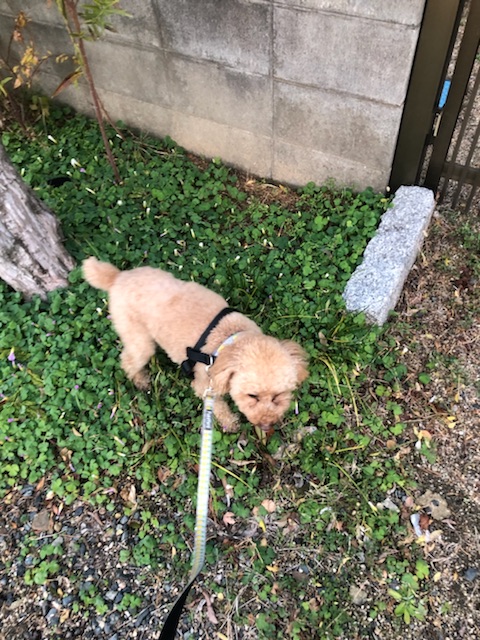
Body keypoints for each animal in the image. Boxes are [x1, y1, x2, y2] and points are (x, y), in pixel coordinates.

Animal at [82, 257, 308, 432]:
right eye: (252, 396)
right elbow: (218, 407)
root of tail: (117, 277)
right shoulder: (204, 384)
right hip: (139, 340)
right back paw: (140, 380)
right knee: (129, 360)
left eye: (278, 396)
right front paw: (230, 423)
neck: (229, 339)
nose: (266, 426)